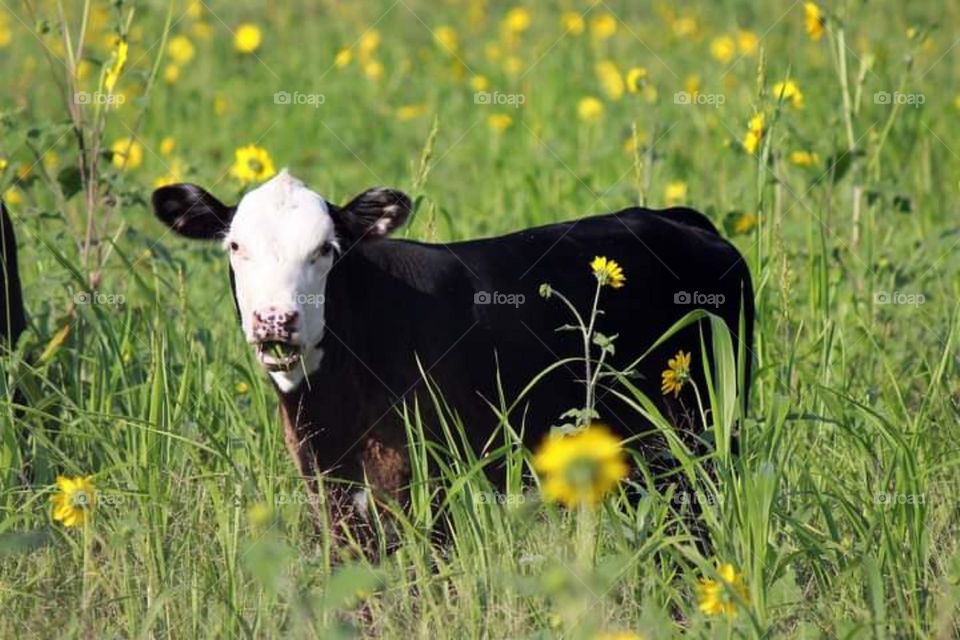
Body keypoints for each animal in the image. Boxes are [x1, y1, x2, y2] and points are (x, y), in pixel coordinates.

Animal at [151, 170, 754, 548]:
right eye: (235, 246)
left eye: (325, 249)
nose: (275, 320)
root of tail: (674, 219)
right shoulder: (328, 479)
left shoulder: (422, 472)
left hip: (701, 431)